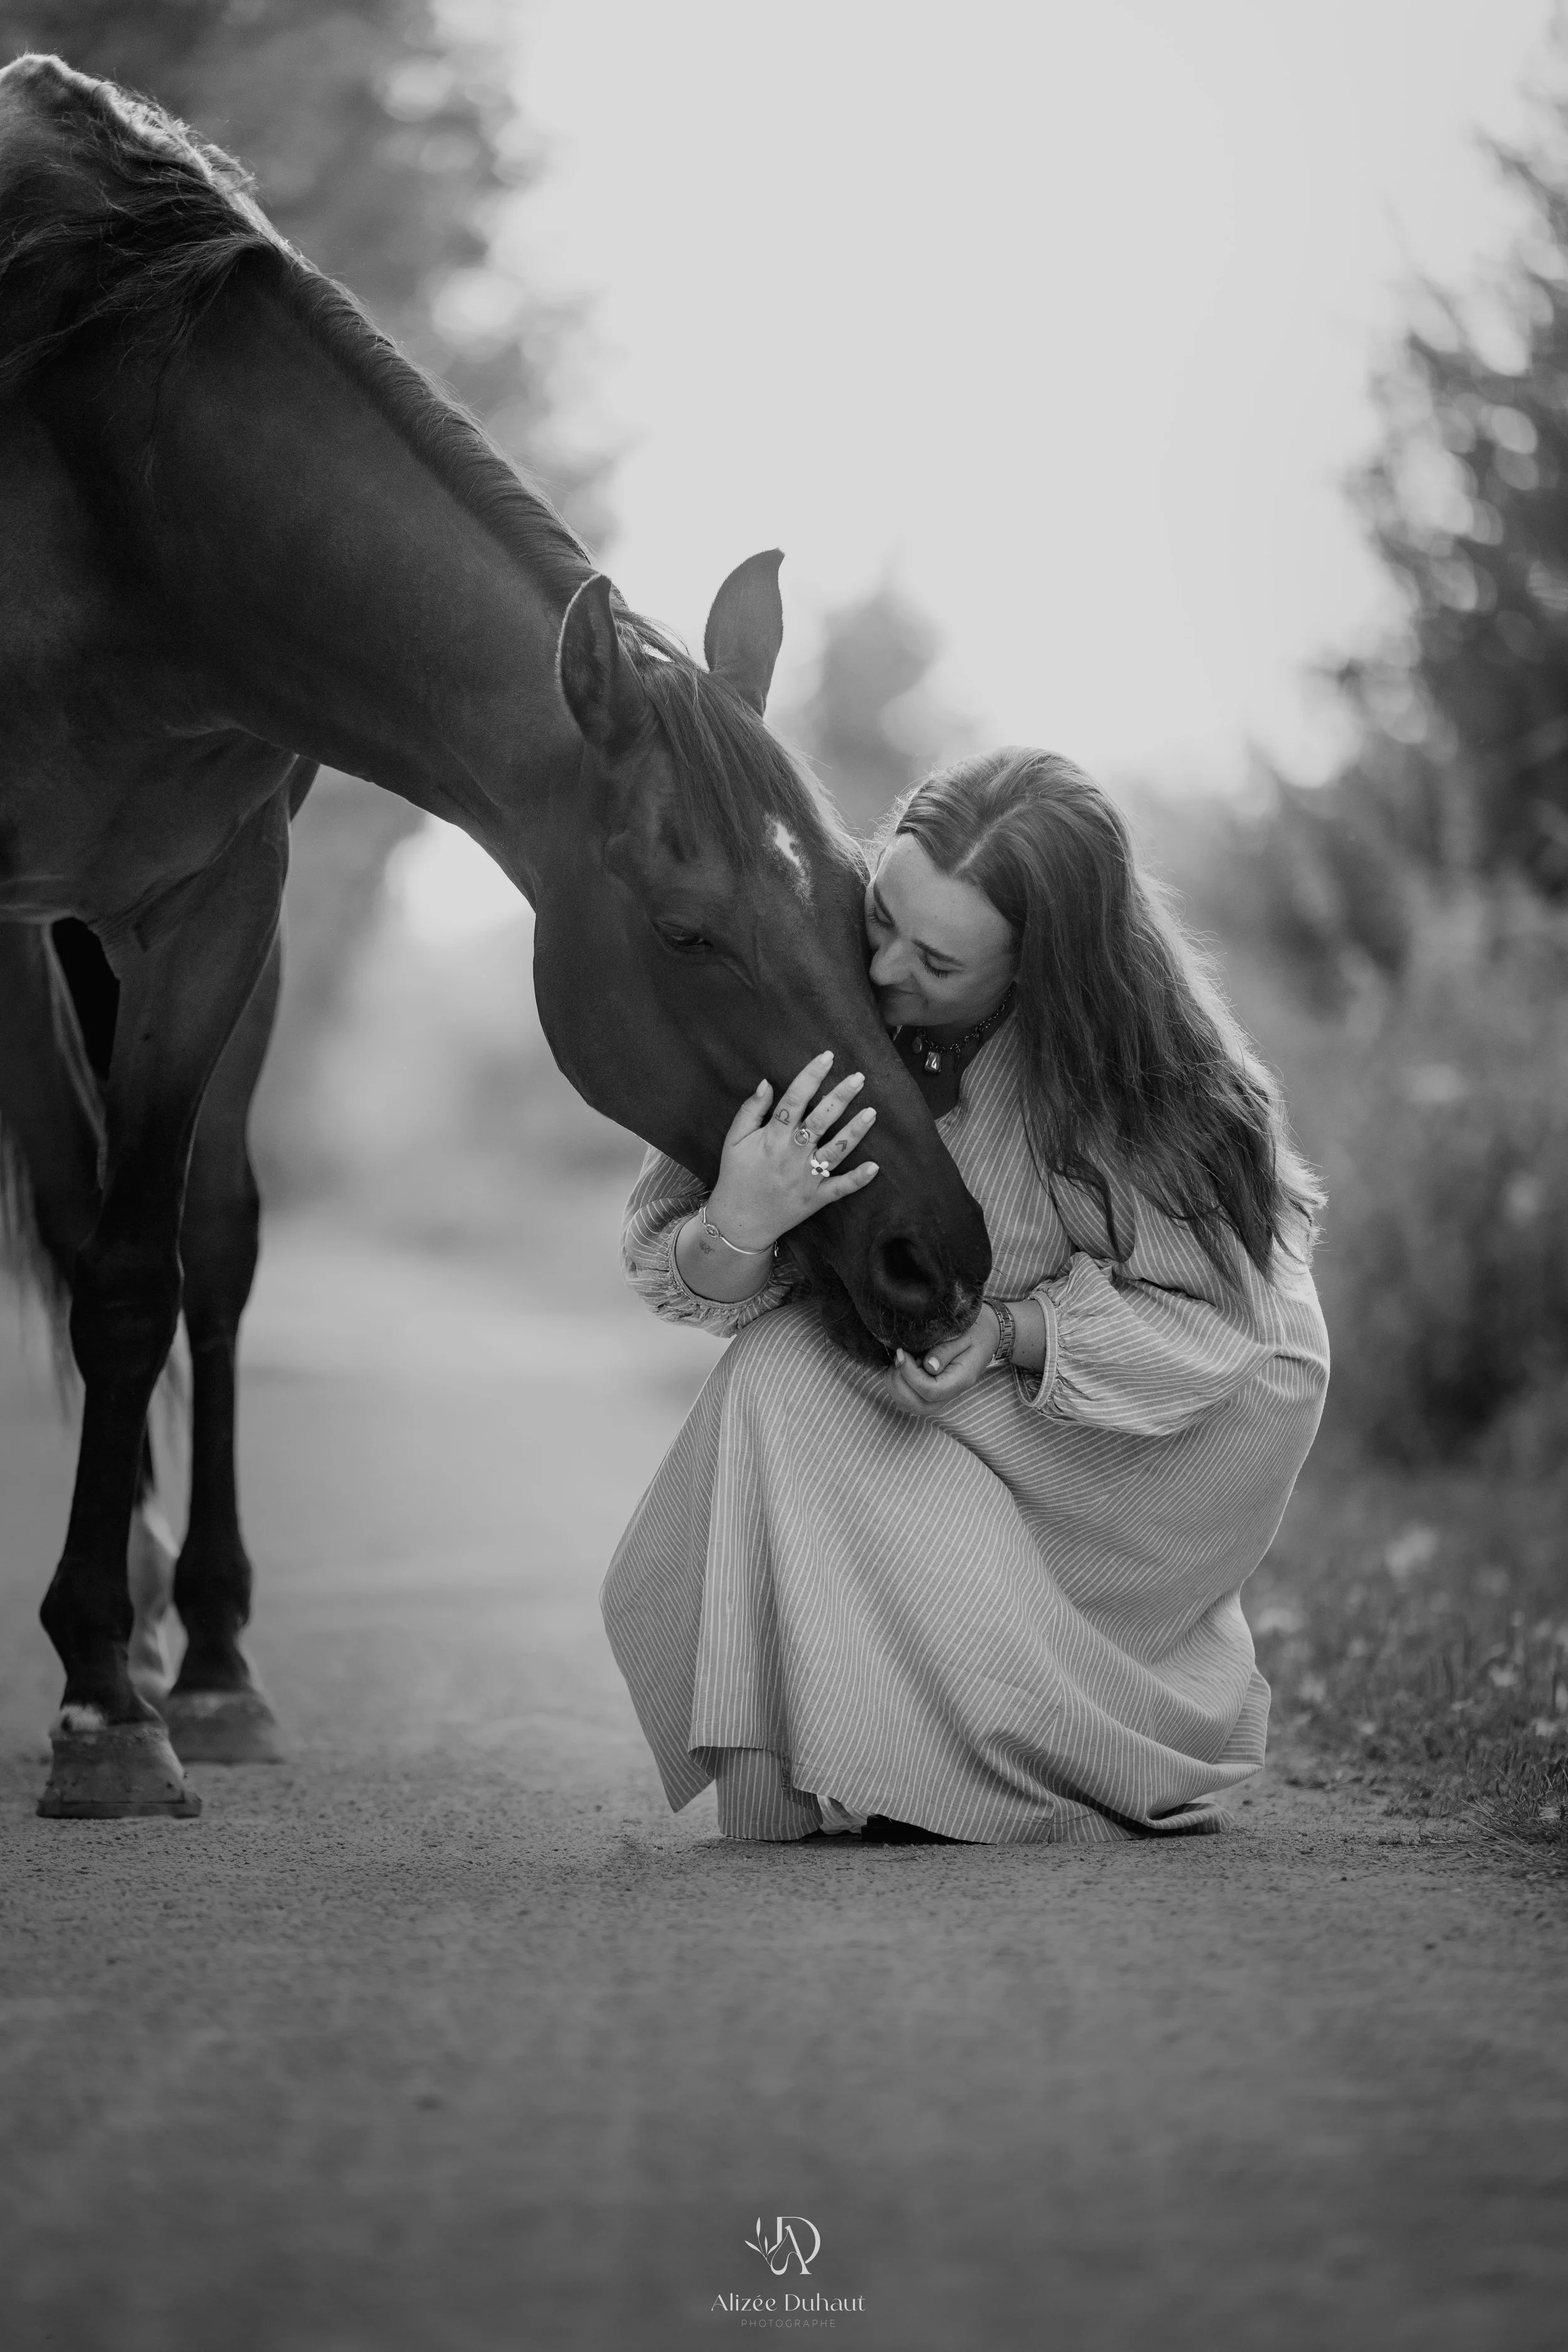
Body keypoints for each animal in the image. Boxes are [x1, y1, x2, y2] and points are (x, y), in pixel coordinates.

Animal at [0, 55, 992, 1820]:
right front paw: (101, 1694)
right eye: (684, 932)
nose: (931, 1255)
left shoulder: (216, 908)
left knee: (197, 1239)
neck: (126, 490)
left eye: (848, 907)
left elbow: (143, 1269)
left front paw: (127, 1686)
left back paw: (204, 1653)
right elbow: (92, 1253)